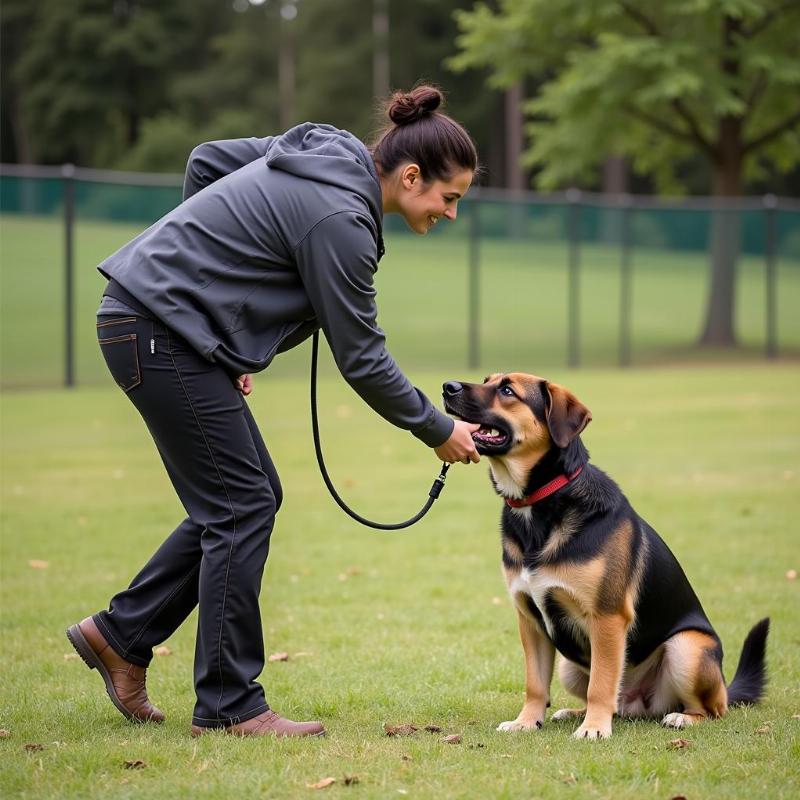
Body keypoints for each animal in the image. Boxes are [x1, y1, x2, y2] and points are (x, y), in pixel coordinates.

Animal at [444, 372, 768, 740]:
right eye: (488, 380)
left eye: (507, 390)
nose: (447, 387)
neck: (540, 504)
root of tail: (638, 703)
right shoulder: (529, 620)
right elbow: (535, 684)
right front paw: (527, 722)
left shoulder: (607, 617)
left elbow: (600, 683)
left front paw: (594, 728)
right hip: (570, 667)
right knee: (613, 701)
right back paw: (574, 713)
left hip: (687, 648)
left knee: (713, 709)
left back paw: (681, 718)